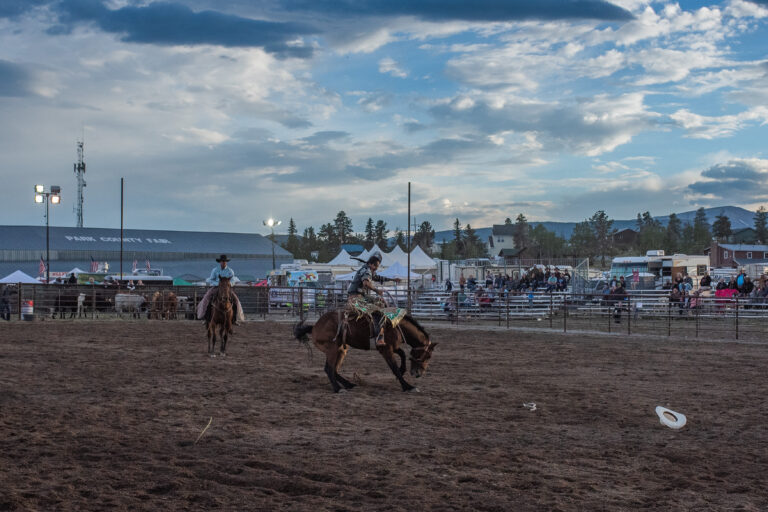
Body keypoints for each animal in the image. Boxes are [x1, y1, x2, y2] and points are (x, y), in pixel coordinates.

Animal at [294, 312, 438, 392]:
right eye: (428, 356)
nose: (418, 374)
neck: (395, 326)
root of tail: (314, 327)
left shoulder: (392, 347)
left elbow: (402, 354)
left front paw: (403, 370)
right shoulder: (385, 350)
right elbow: (394, 367)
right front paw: (408, 386)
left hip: (342, 349)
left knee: (333, 369)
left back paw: (349, 384)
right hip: (333, 349)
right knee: (329, 369)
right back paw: (338, 389)